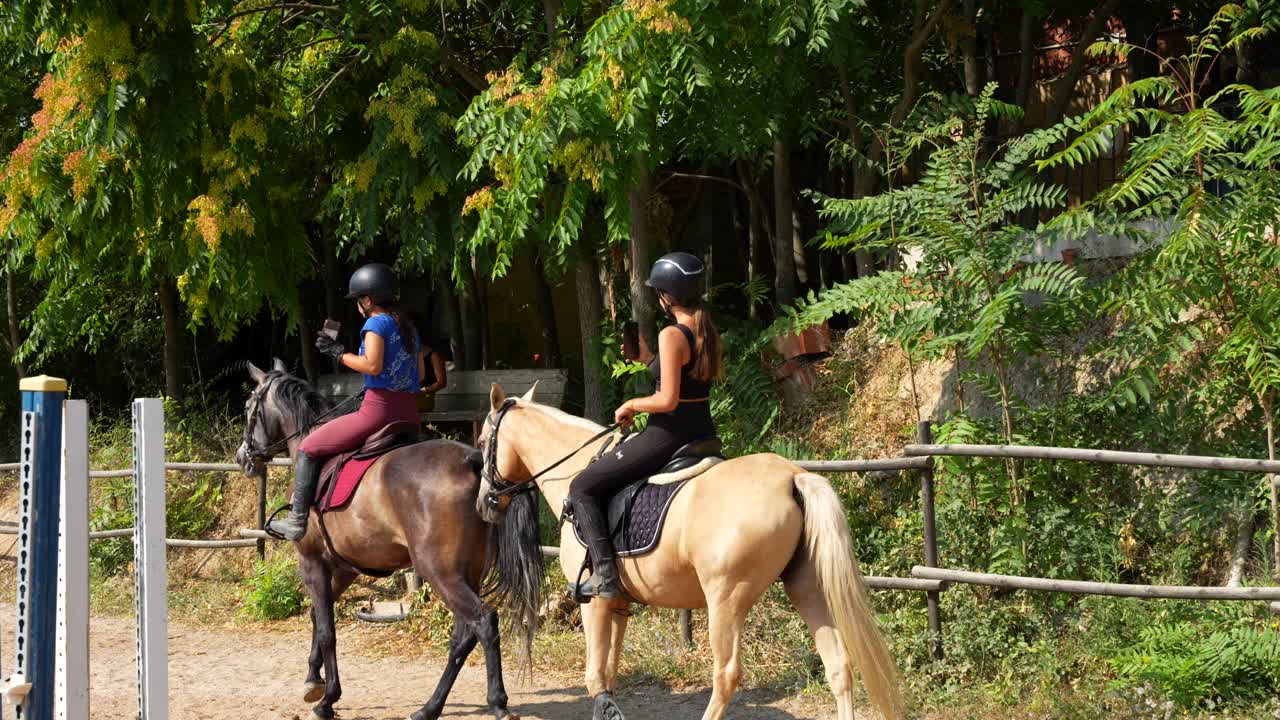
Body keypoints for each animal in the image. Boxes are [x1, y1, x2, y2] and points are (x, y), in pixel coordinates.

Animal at [234, 360, 538, 720]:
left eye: (249, 407)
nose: (242, 457)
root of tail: (472, 460)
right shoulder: (344, 568)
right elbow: (317, 617)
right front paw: (313, 681)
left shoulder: (312, 562)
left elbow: (327, 630)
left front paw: (327, 699)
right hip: (467, 573)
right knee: (463, 636)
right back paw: (429, 708)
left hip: (440, 573)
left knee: (484, 622)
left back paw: (497, 703)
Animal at [474, 383, 903, 720]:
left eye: (481, 443)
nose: (484, 503)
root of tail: (792, 476)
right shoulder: (616, 602)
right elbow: (610, 672)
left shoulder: (593, 601)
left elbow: (595, 675)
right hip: (806, 588)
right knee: (839, 667)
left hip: (725, 600)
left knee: (726, 674)